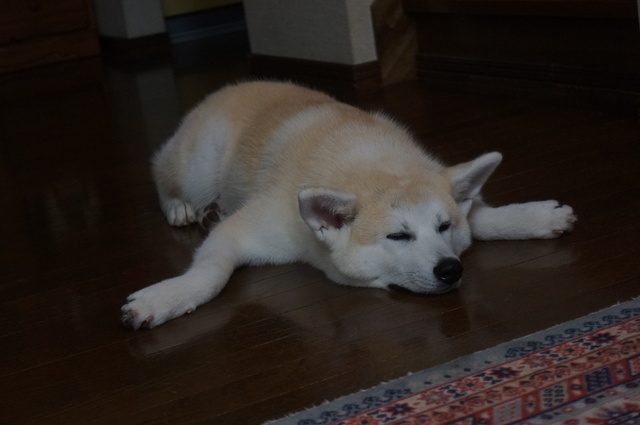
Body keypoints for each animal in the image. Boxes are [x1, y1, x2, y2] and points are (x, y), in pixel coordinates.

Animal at [121, 81, 576, 330]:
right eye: (398, 235)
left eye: (444, 227)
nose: (451, 269)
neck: (368, 164)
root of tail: (228, 88)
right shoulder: (249, 230)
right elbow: (211, 273)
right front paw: (166, 298)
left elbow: (481, 217)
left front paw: (535, 215)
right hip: (199, 164)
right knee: (160, 169)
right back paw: (180, 207)